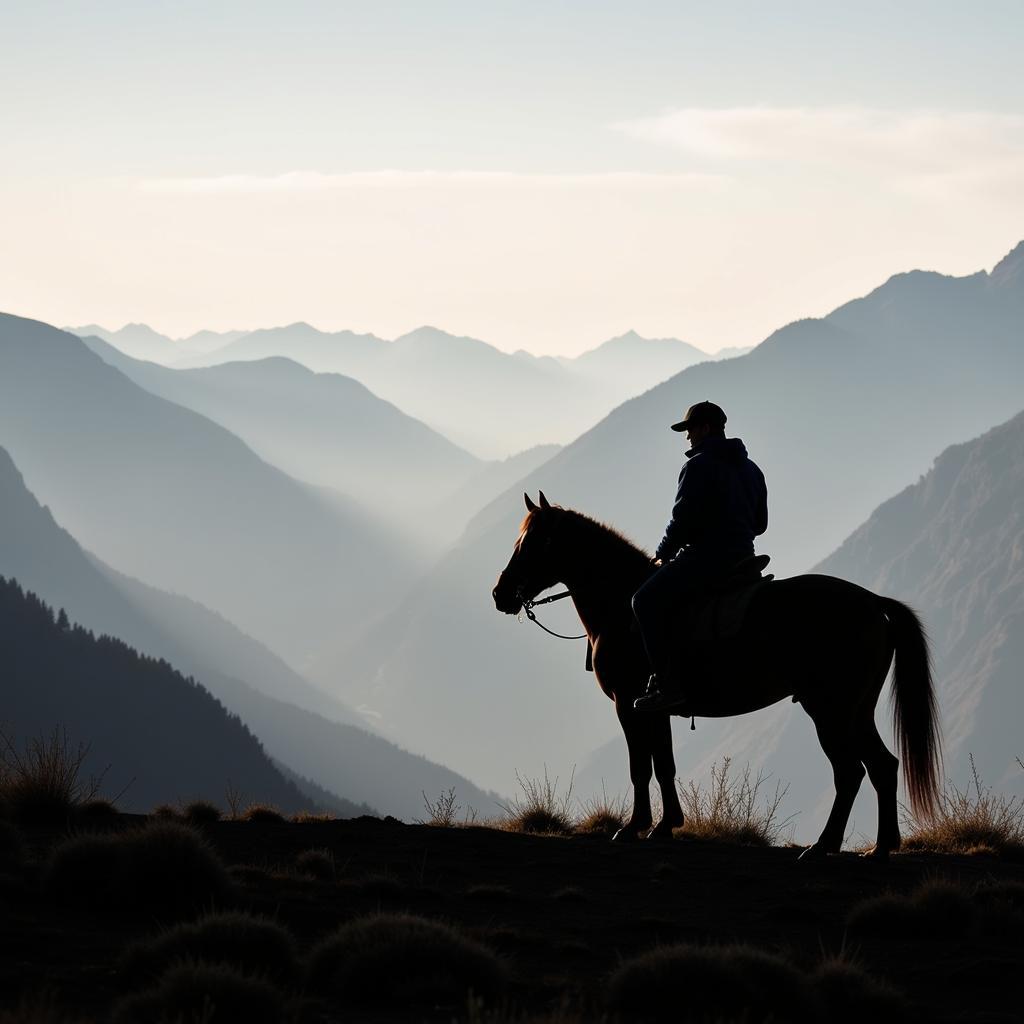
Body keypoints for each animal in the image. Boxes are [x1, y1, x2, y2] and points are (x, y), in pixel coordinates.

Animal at [491, 491, 937, 860]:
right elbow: (664, 765)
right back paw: (881, 847)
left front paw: (634, 827)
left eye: (533, 542)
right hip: (856, 711)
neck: (620, 606)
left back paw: (823, 846)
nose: (500, 593)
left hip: (830, 711)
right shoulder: (655, 709)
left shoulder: (628, 706)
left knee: (850, 772)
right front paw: (665, 825)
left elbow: (640, 767)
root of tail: (872, 602)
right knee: (883, 766)